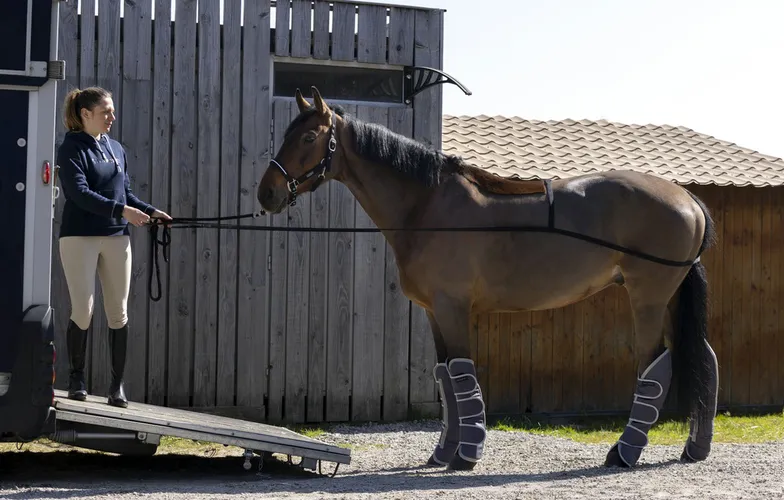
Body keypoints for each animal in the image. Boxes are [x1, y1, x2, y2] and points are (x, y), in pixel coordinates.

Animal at [257, 87, 720, 471]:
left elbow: (463, 377)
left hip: (648, 299)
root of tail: (687, 197)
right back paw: (694, 449)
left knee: (654, 368)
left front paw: (467, 454)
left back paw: (624, 452)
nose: (267, 193)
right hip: (670, 299)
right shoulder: (433, 313)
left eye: (308, 138)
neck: (427, 206)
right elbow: (446, 379)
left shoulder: (453, 308)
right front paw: (443, 453)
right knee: (706, 358)